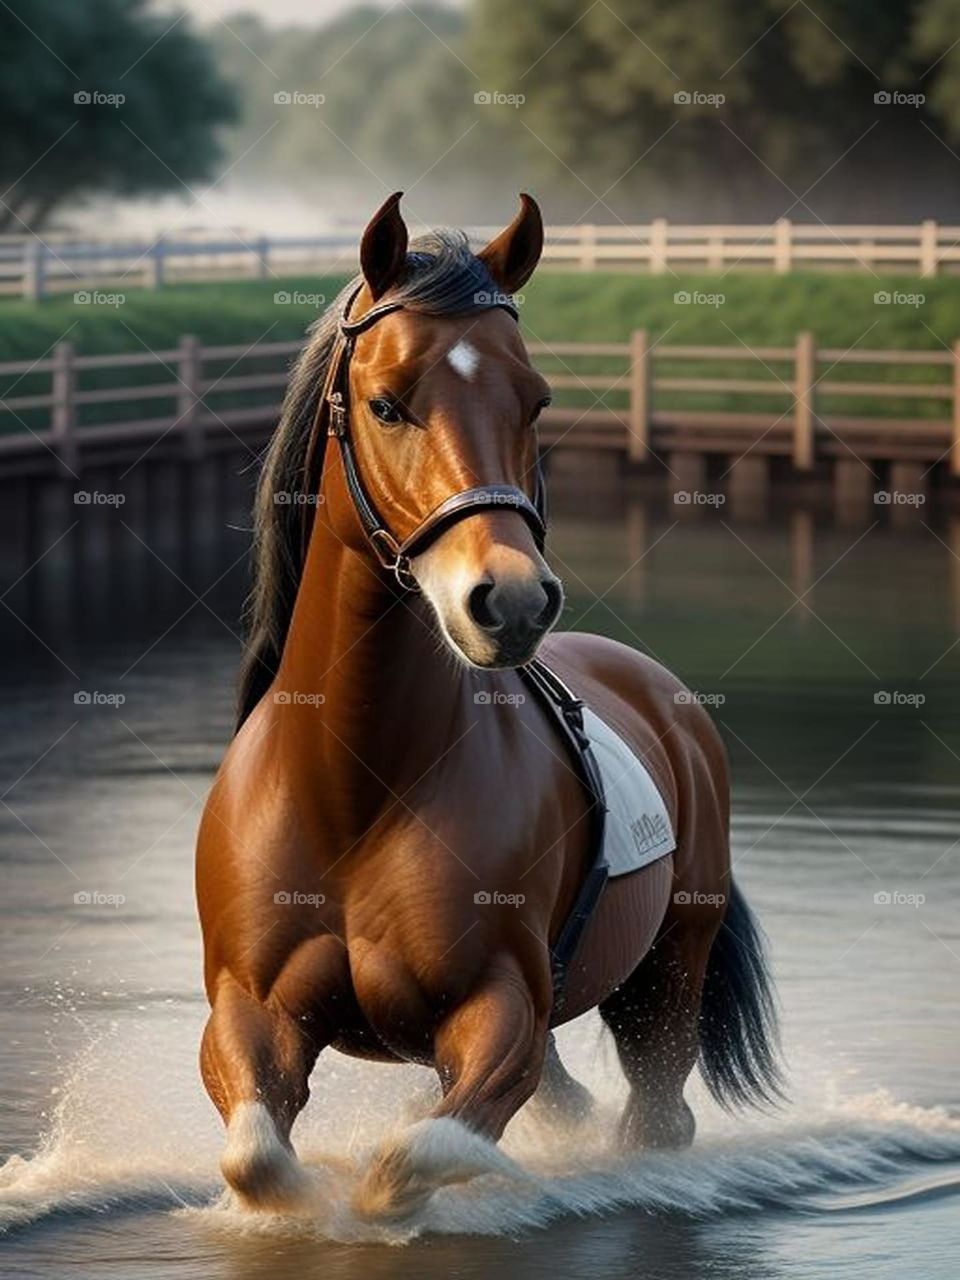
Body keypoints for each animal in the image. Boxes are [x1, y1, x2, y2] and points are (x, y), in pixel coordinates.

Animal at [195, 192, 781, 1221]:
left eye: (536, 401)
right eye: (387, 404)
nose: (510, 601)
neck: (355, 785)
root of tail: (665, 699)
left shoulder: (499, 1010)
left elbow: (411, 1160)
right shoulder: (245, 1009)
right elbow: (259, 1158)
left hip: (666, 979)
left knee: (653, 1118)